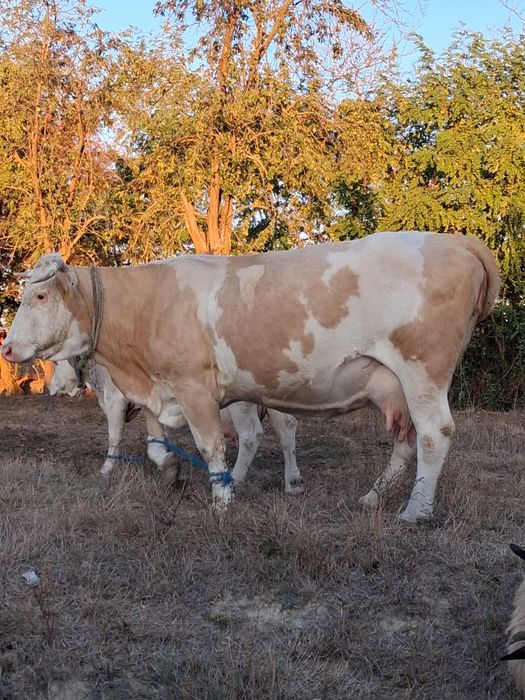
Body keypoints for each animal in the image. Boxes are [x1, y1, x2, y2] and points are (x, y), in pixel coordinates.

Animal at [49, 359, 303, 492]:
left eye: (56, 362)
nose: (50, 387)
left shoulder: (114, 400)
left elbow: (114, 436)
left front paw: (106, 469)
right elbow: (156, 440)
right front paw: (168, 465)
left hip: (242, 406)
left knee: (251, 436)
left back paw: (235, 477)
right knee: (287, 430)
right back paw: (293, 481)